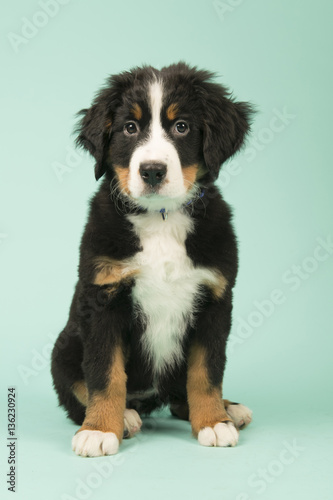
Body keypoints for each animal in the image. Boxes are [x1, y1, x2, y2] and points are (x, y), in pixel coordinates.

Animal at [51, 62, 254, 458]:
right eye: (130, 127)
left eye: (182, 126)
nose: (153, 171)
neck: (161, 218)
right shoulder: (103, 299)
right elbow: (104, 374)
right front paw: (99, 430)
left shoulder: (215, 300)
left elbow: (206, 372)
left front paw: (213, 422)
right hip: (64, 348)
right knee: (78, 390)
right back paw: (125, 418)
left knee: (181, 396)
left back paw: (230, 410)